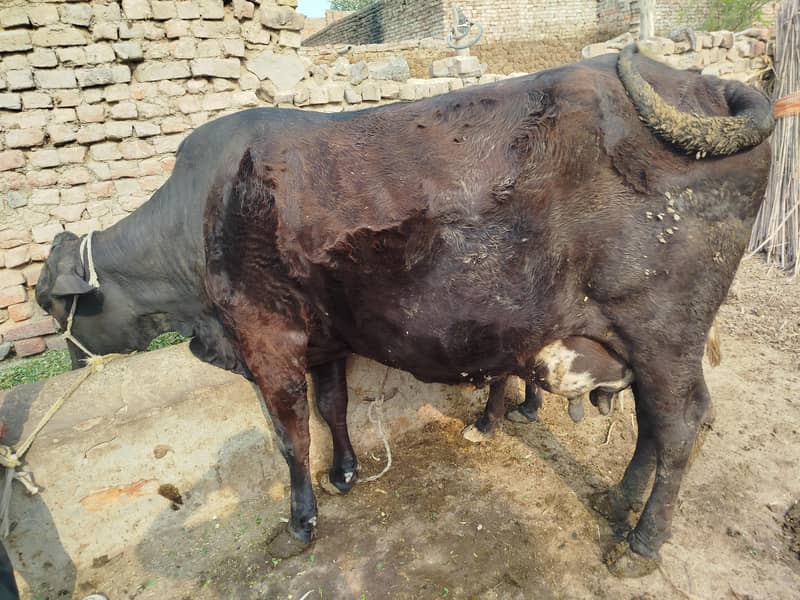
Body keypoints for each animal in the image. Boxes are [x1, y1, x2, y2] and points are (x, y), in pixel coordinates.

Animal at [36, 43, 773, 577]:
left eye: (48, 302)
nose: (67, 362)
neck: (200, 219)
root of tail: (701, 84)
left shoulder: (267, 342)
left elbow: (291, 437)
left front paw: (299, 524)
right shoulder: (324, 336)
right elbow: (332, 406)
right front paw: (345, 472)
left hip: (663, 328)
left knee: (681, 425)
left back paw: (641, 545)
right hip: (639, 339)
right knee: (653, 422)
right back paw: (617, 500)